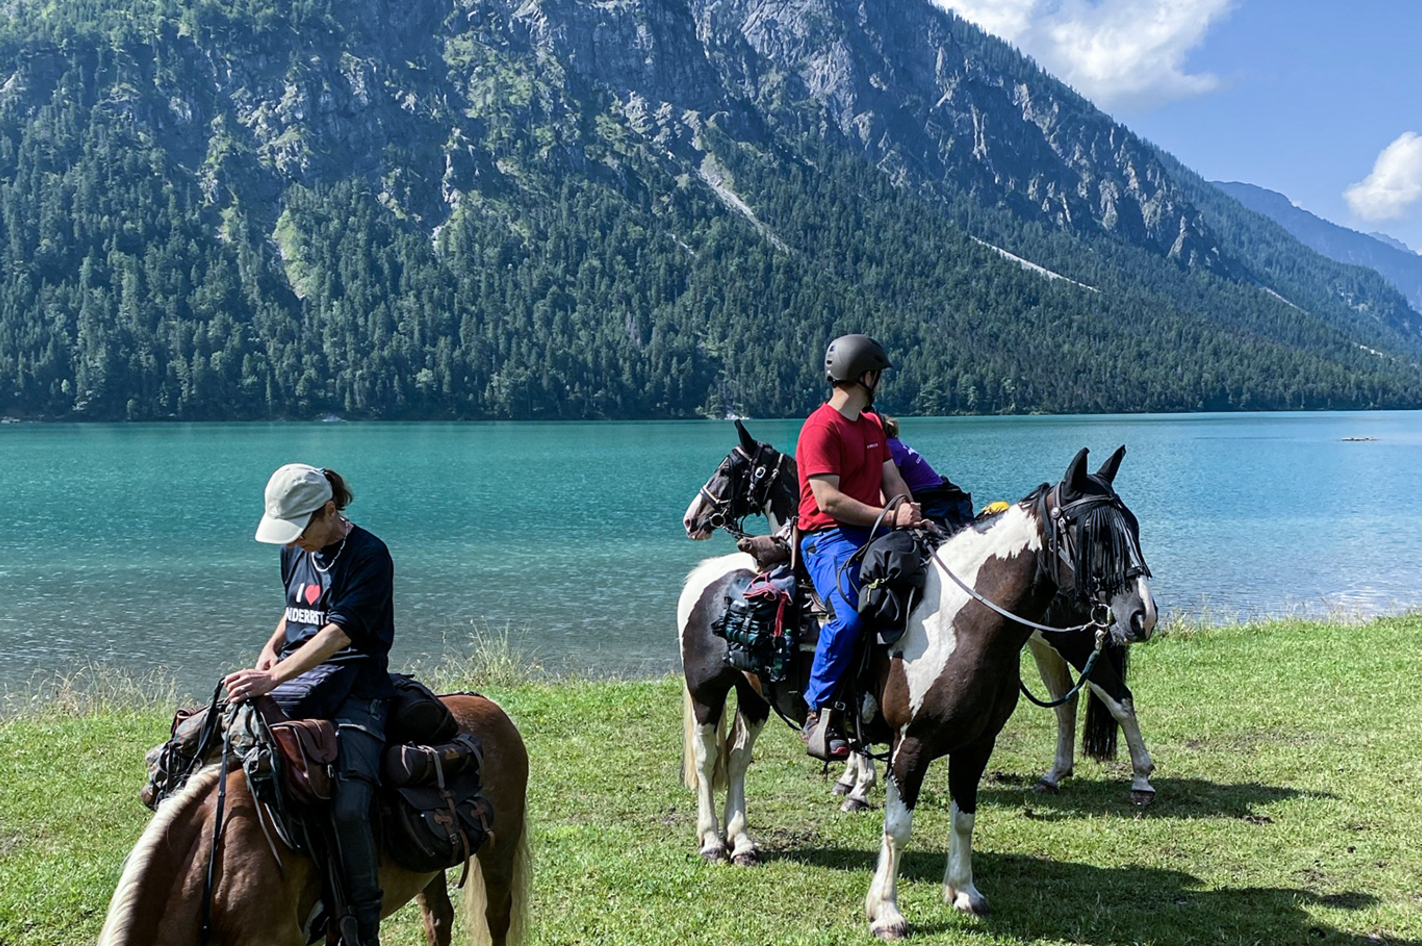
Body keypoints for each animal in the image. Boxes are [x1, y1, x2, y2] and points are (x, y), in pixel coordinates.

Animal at [95, 694, 528, 944]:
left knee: (497, 918)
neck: (215, 867)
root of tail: (491, 707)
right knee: (439, 919)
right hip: (427, 868)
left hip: (500, 847)